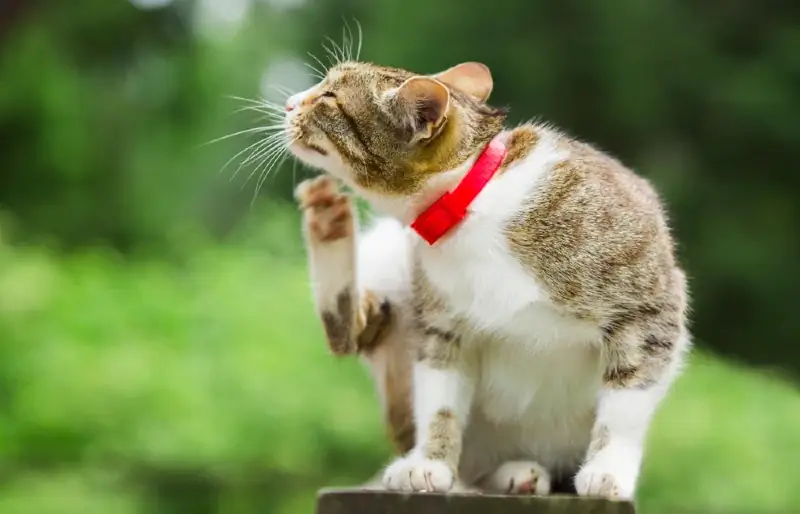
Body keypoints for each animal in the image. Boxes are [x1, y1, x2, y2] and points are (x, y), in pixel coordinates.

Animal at [284, 58, 692, 498]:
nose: (289, 103)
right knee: (351, 330)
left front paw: (608, 470)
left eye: (328, 97)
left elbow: (626, 402)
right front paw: (429, 462)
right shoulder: (442, 323)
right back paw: (328, 222)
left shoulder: (649, 306)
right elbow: (439, 399)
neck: (471, 204)